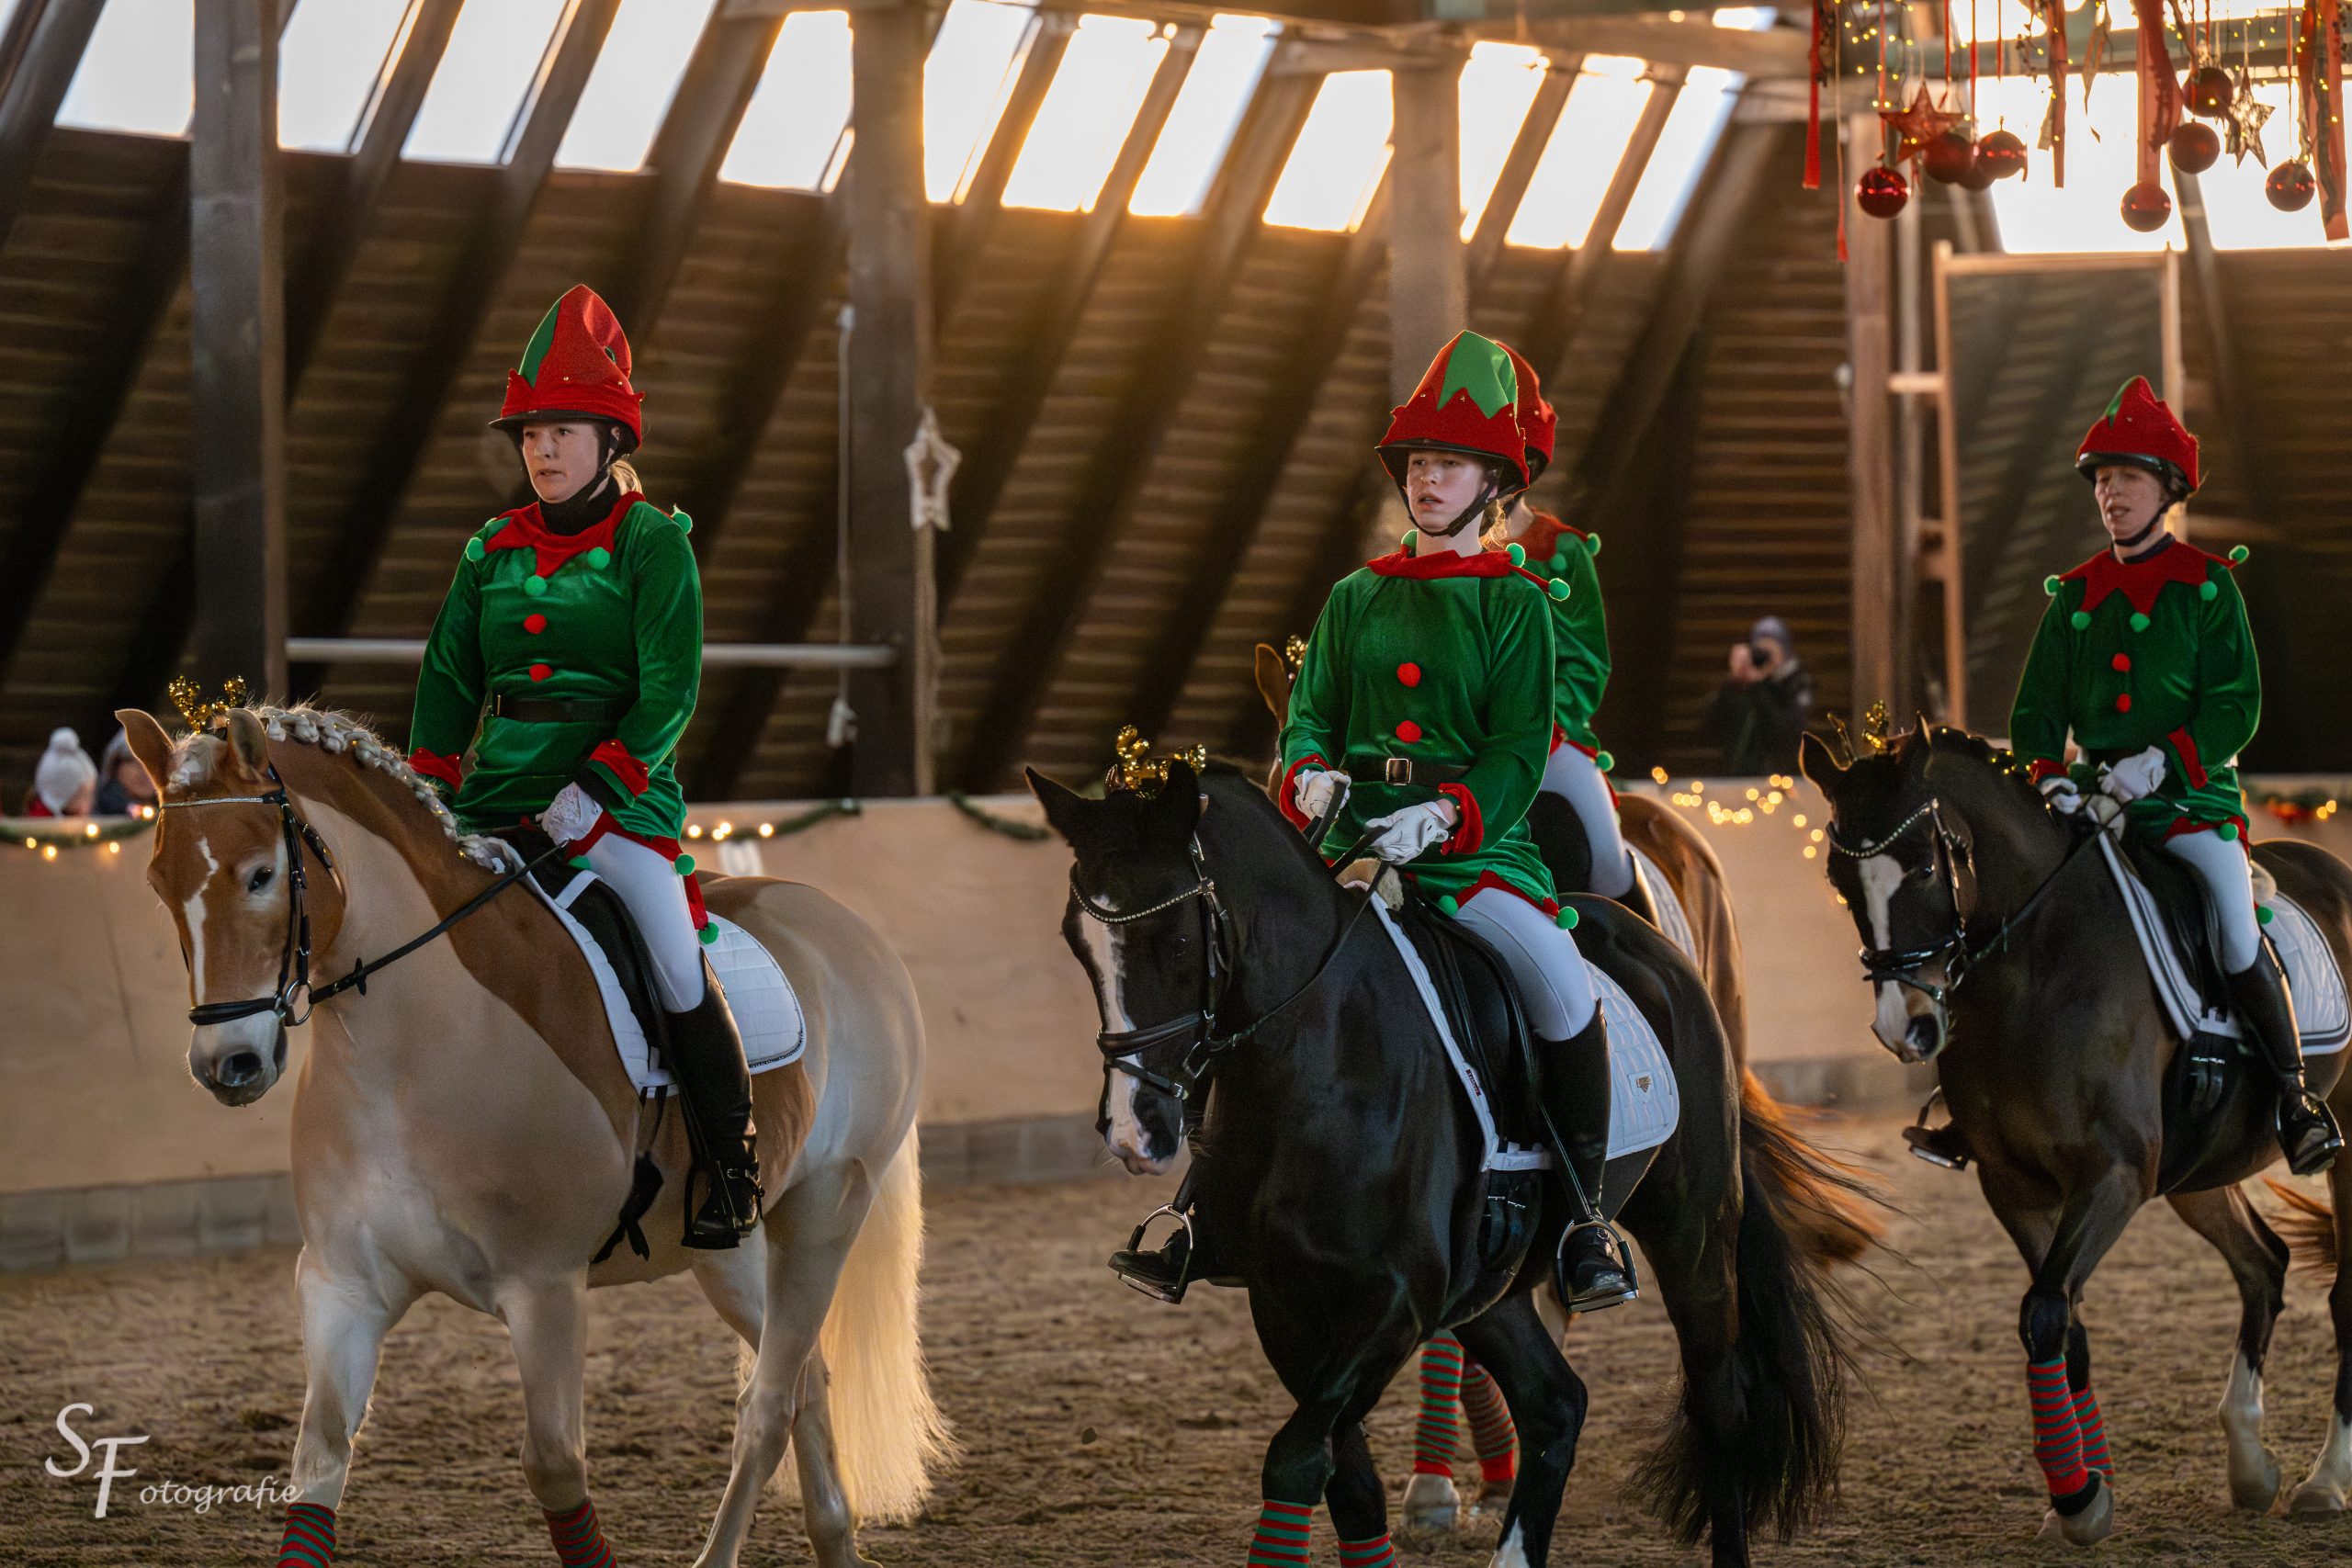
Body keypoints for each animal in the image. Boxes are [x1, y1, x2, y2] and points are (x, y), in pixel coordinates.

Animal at [115, 704, 951, 1568]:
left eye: (259, 875)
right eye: (159, 883)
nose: (229, 1063)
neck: (410, 1048)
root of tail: (848, 929)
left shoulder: (545, 1287)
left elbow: (553, 1464)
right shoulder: (341, 1284)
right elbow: (320, 1454)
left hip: (825, 1212)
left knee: (769, 1401)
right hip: (734, 1251)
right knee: (806, 1376)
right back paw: (834, 1537)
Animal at [1031, 757, 1860, 1567]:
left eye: (1176, 941)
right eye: (1077, 942)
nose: (1134, 1130)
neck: (1319, 1055)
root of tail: (1653, 946)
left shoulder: (1398, 1302)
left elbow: (1296, 1458)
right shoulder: (1285, 1303)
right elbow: (1345, 1479)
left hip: (1693, 1233)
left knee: (1720, 1405)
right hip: (1492, 1284)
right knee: (1556, 1404)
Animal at [1799, 722, 2352, 1543]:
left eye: (1927, 863)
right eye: (1839, 879)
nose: (1909, 1028)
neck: (2029, 970)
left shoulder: (2114, 1173)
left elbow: (2046, 1311)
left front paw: (2079, 1495)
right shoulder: (2015, 1186)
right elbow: (2067, 1321)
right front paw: (2087, 1488)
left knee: (2335, 1289)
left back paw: (2324, 1479)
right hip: (2198, 1169)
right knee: (2263, 1264)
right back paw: (2252, 1465)